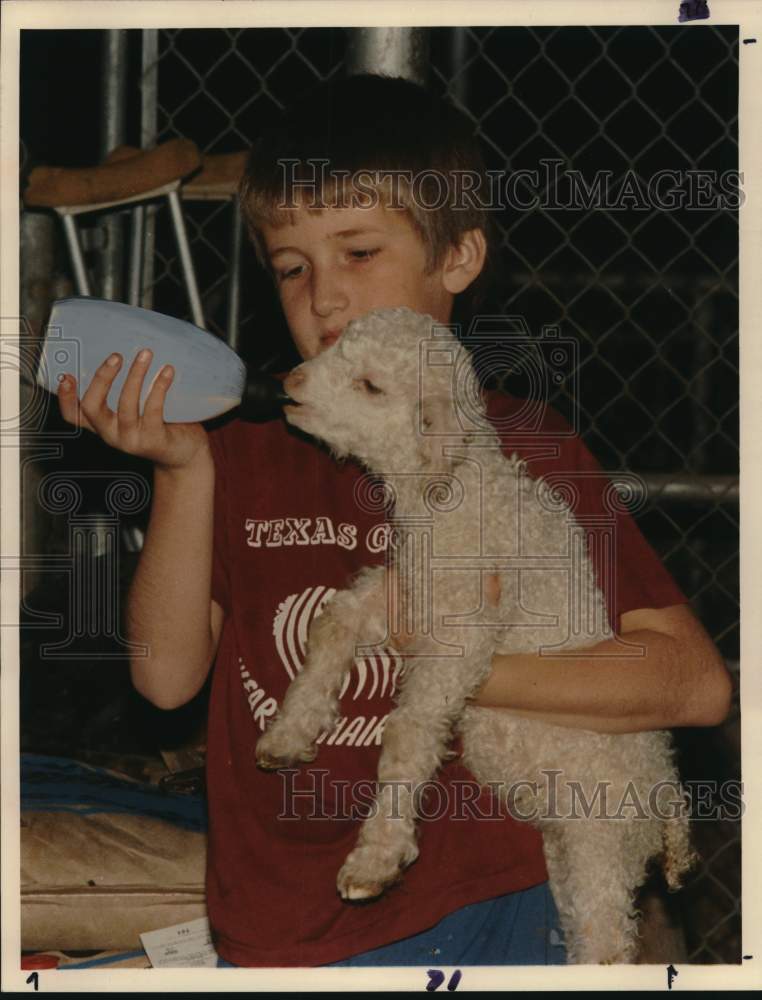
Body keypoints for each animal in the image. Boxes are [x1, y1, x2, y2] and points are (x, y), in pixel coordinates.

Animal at [255, 308, 696, 964]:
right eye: (336, 345)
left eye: (371, 386)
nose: (293, 381)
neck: (452, 491)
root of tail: (667, 793)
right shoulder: (407, 597)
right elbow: (333, 623)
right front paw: (288, 734)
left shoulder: (463, 627)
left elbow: (409, 731)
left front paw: (376, 858)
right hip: (569, 847)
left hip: (600, 837)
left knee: (608, 944)